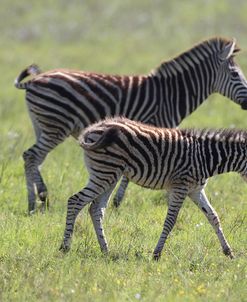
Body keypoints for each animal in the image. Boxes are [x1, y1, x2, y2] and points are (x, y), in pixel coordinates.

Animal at [60, 117, 247, 260]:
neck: (205, 158)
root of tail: (92, 129)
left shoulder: (195, 190)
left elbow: (213, 217)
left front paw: (229, 252)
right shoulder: (180, 188)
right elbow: (170, 221)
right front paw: (156, 254)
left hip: (110, 175)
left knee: (95, 209)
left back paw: (106, 250)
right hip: (104, 172)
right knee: (75, 201)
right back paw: (65, 247)